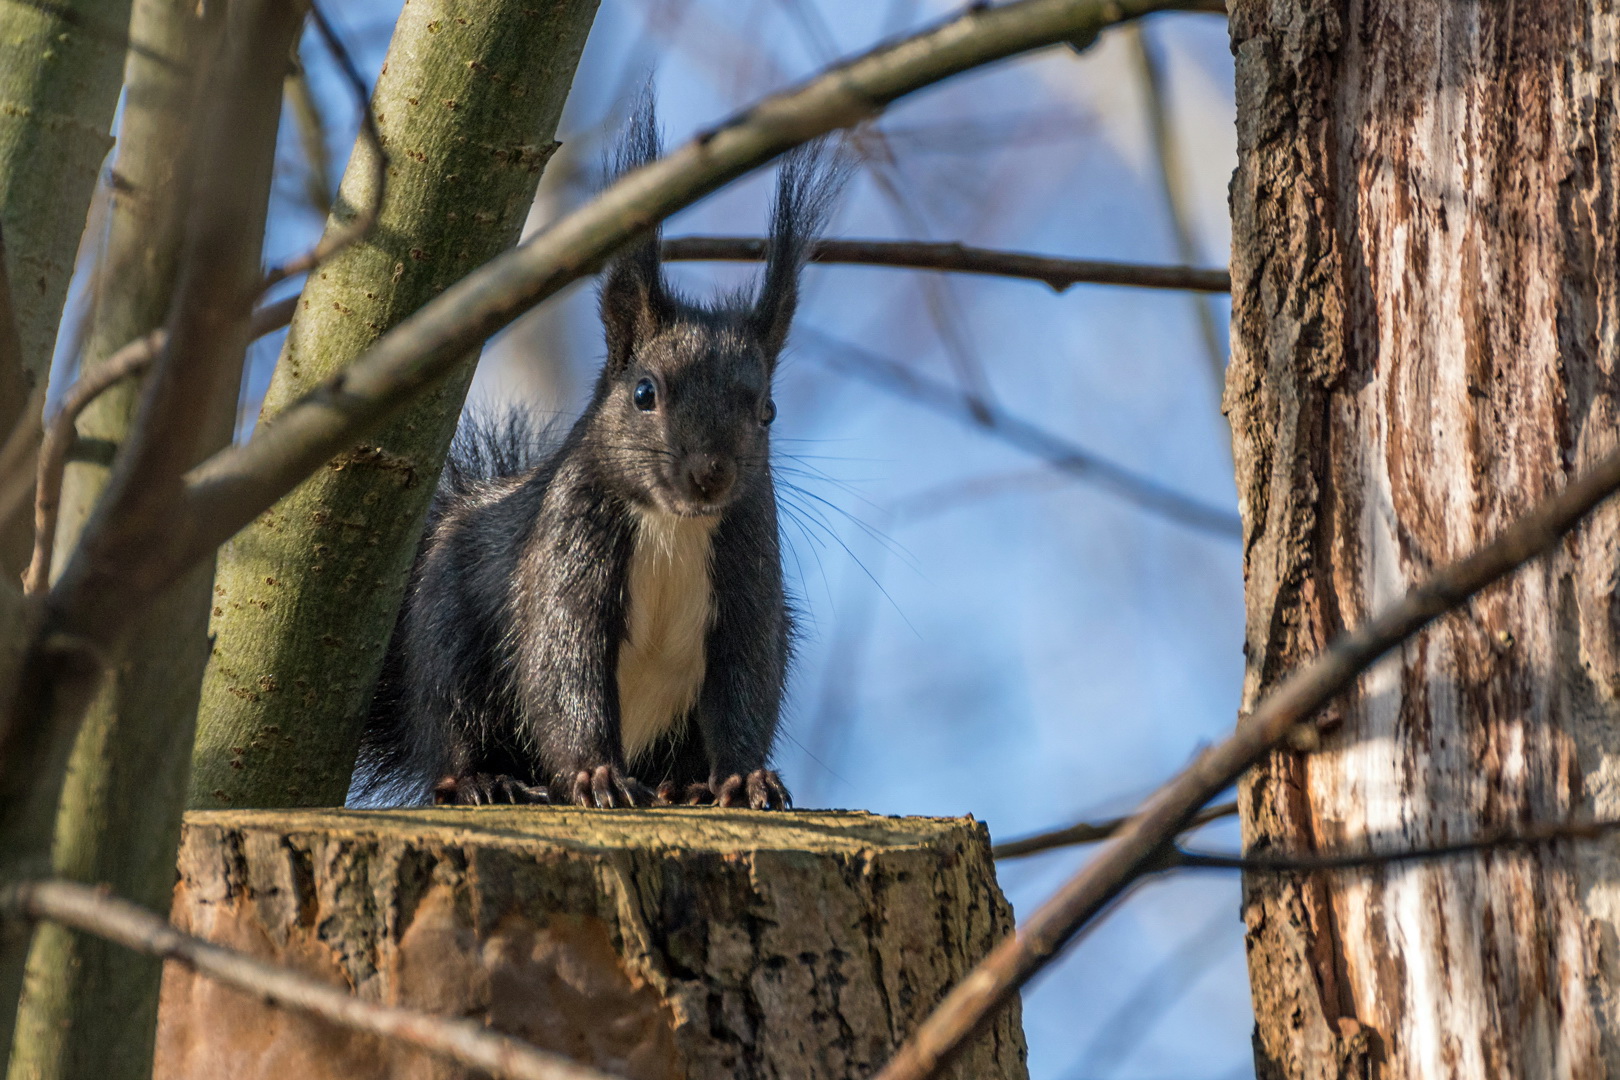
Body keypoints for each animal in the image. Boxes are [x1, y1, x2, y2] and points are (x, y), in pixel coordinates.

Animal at [354, 103, 848, 809]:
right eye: (644, 393)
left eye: (768, 412)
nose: (711, 474)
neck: (671, 525)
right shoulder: (565, 546)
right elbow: (564, 661)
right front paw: (596, 775)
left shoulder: (749, 564)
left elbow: (744, 676)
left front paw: (745, 777)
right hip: (445, 636)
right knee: (449, 725)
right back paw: (484, 779)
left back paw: (682, 785)